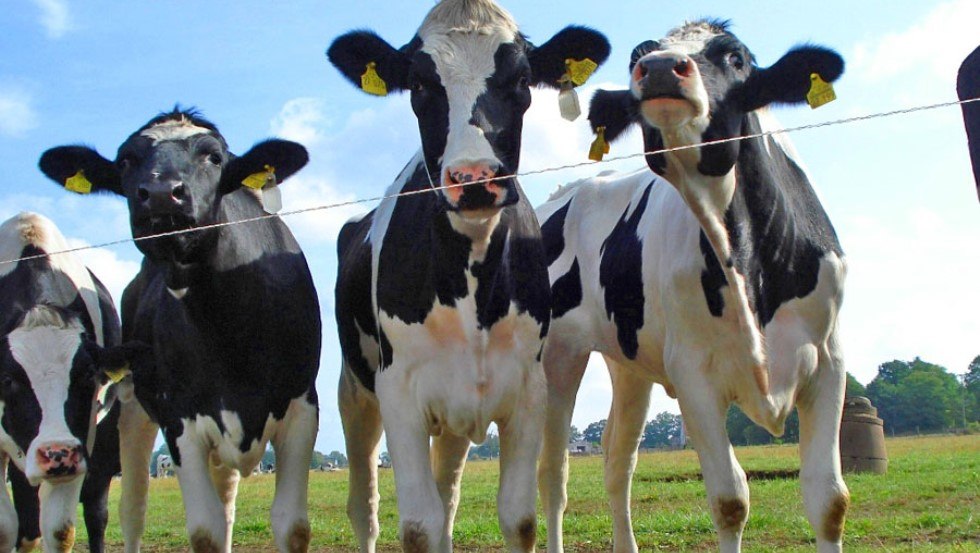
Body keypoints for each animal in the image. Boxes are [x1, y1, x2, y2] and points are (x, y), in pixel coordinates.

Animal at [0, 212, 131, 553]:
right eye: (7, 378)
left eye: (87, 373)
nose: (56, 452)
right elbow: (5, 527)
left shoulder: (82, 436)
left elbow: (59, 530)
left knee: (92, 514)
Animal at [38, 108, 322, 553]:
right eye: (125, 160)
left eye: (214, 156)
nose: (159, 193)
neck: (227, 327)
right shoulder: (181, 422)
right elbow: (205, 530)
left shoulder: (301, 407)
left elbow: (291, 525)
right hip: (131, 408)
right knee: (132, 509)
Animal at [326, 1, 609, 550]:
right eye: (419, 84)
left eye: (520, 78)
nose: (474, 177)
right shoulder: (399, 393)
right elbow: (418, 525)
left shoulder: (528, 391)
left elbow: (518, 518)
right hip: (355, 392)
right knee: (364, 507)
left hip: (455, 417)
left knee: (448, 497)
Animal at [536, 19, 848, 553]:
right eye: (637, 56)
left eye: (736, 58)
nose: (660, 66)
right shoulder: (693, 375)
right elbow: (730, 500)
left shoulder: (829, 359)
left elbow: (828, 500)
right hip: (559, 356)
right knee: (554, 477)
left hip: (629, 364)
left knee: (618, 461)